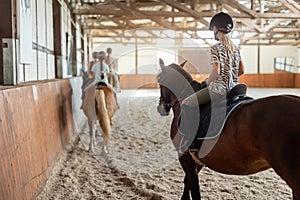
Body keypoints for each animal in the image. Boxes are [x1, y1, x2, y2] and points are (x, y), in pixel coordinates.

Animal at [157, 59, 300, 200]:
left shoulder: (184, 156)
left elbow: (193, 187)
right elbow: (188, 182)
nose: (161, 108)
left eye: (159, 81)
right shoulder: (197, 160)